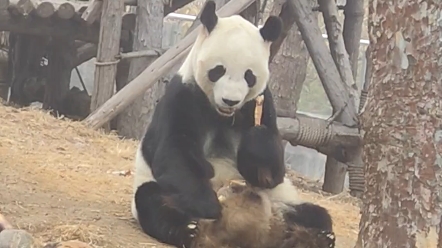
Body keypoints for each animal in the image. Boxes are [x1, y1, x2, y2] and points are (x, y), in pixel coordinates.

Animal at [131, 0, 334, 247]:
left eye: (249, 76)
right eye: (218, 70)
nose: (230, 100)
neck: (223, 114)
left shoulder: (262, 104)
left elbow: (273, 172)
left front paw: (257, 139)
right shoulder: (183, 96)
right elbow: (173, 152)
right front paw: (208, 205)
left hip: (282, 202)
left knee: (314, 214)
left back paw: (314, 237)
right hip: (160, 192)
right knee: (152, 200)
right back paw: (189, 229)